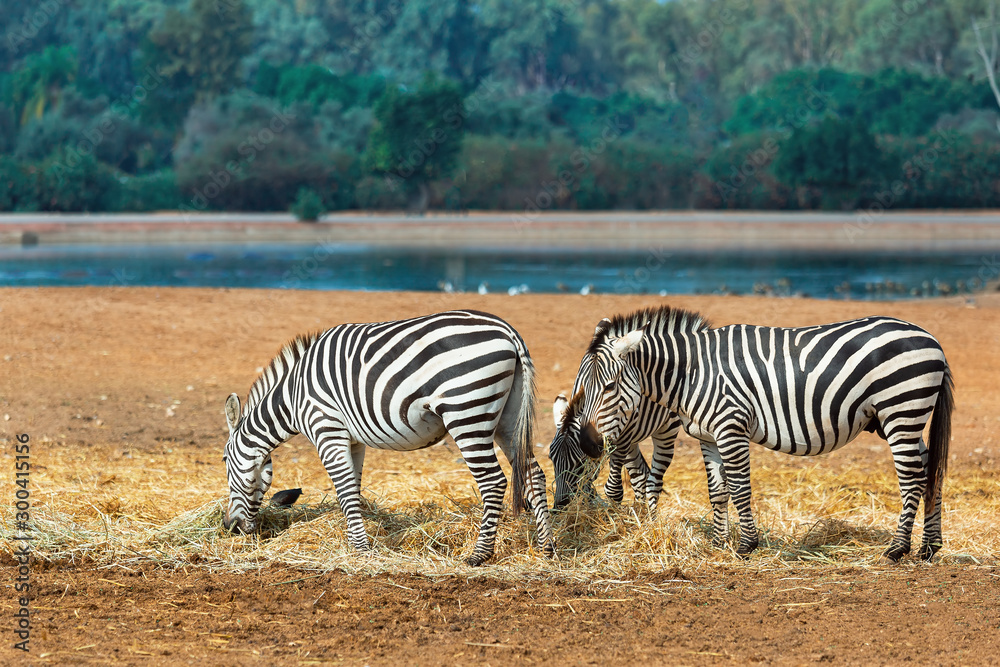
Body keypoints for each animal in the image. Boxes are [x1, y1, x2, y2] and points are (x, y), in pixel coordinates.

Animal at [222, 309, 555, 566]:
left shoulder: (326, 429)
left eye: (224, 461)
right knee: (533, 474)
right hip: (508, 419)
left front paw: (360, 549)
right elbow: (352, 489)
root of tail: (508, 331)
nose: (229, 527)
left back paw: (479, 555)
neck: (293, 397)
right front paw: (355, 542)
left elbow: (345, 490)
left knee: (493, 481)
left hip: (466, 412)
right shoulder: (352, 439)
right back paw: (546, 549)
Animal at [557, 306, 953, 562]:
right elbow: (718, 490)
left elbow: (739, 487)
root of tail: (932, 339)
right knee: (931, 472)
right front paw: (719, 543)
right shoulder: (707, 436)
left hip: (900, 411)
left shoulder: (731, 426)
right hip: (906, 417)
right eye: (581, 386)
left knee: (913, 478)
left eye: (609, 386)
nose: (590, 444)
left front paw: (747, 545)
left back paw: (898, 549)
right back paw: (929, 548)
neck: (690, 373)